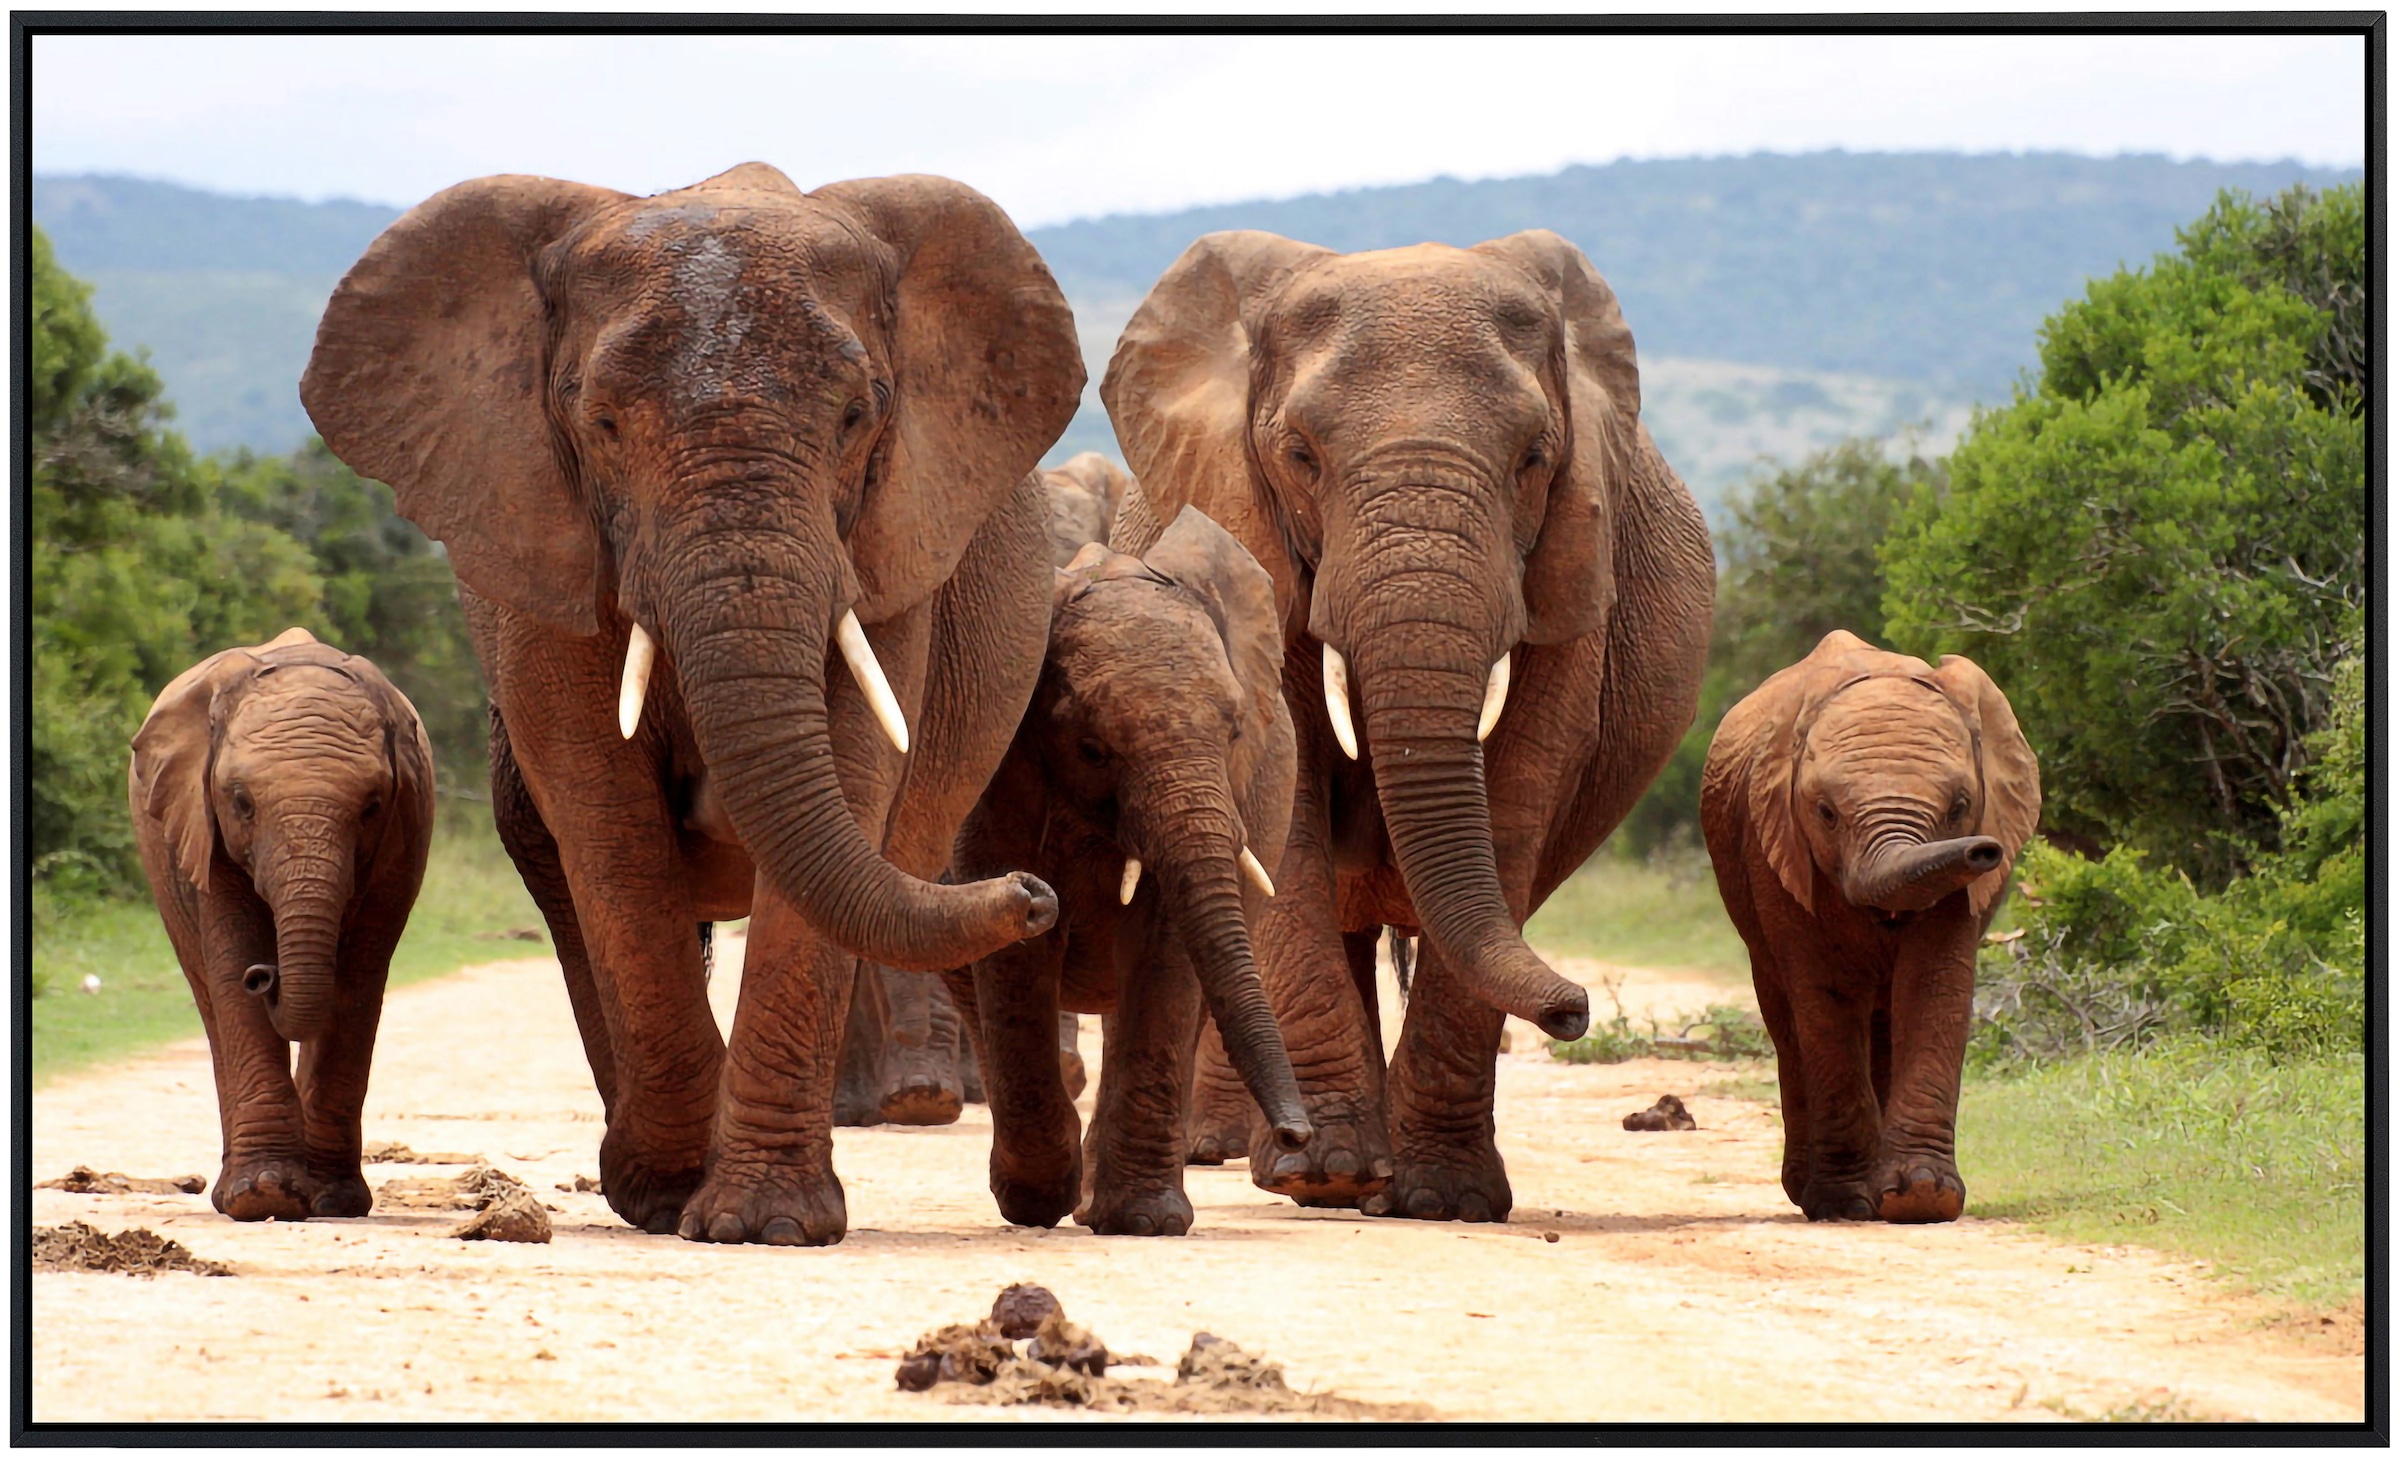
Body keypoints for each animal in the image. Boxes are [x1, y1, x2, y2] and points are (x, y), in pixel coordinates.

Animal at [126, 628, 439, 1218]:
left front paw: (334, 1200)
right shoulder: (202, 824)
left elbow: (359, 978)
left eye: (372, 806)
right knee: (209, 995)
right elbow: (231, 960)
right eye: (241, 802)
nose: (265, 975)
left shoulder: (403, 834)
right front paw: (264, 1193)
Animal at [300, 165, 1080, 1246]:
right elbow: (604, 817)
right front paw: (672, 1195)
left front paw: (764, 1223)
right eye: (601, 424)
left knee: (911, 872)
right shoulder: (541, 545)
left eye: (857, 417)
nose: (1035, 896)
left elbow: (850, 779)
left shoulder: (890, 544)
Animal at [945, 505, 1315, 1237]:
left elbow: (1166, 951)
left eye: (1235, 732)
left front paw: (1143, 1221)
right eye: (1092, 747)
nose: (1299, 1136)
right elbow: (1017, 947)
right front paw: (1040, 1201)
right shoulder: (997, 779)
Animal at [1104, 225, 1728, 1218]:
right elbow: (1290, 815)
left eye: (1534, 458)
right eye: (1301, 456)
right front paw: (1328, 1176)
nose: (1576, 1010)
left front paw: (1444, 1199)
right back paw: (1299, 1163)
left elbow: (1515, 799)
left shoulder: (1569, 575)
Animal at [1699, 633, 2035, 1222]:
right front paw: (1845, 1203)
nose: (1984, 851)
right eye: (1825, 812)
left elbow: (1934, 985)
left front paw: (1921, 1196)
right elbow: (1825, 996)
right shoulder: (1776, 847)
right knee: (1787, 1018)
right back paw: (1809, 1190)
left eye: (1960, 807)